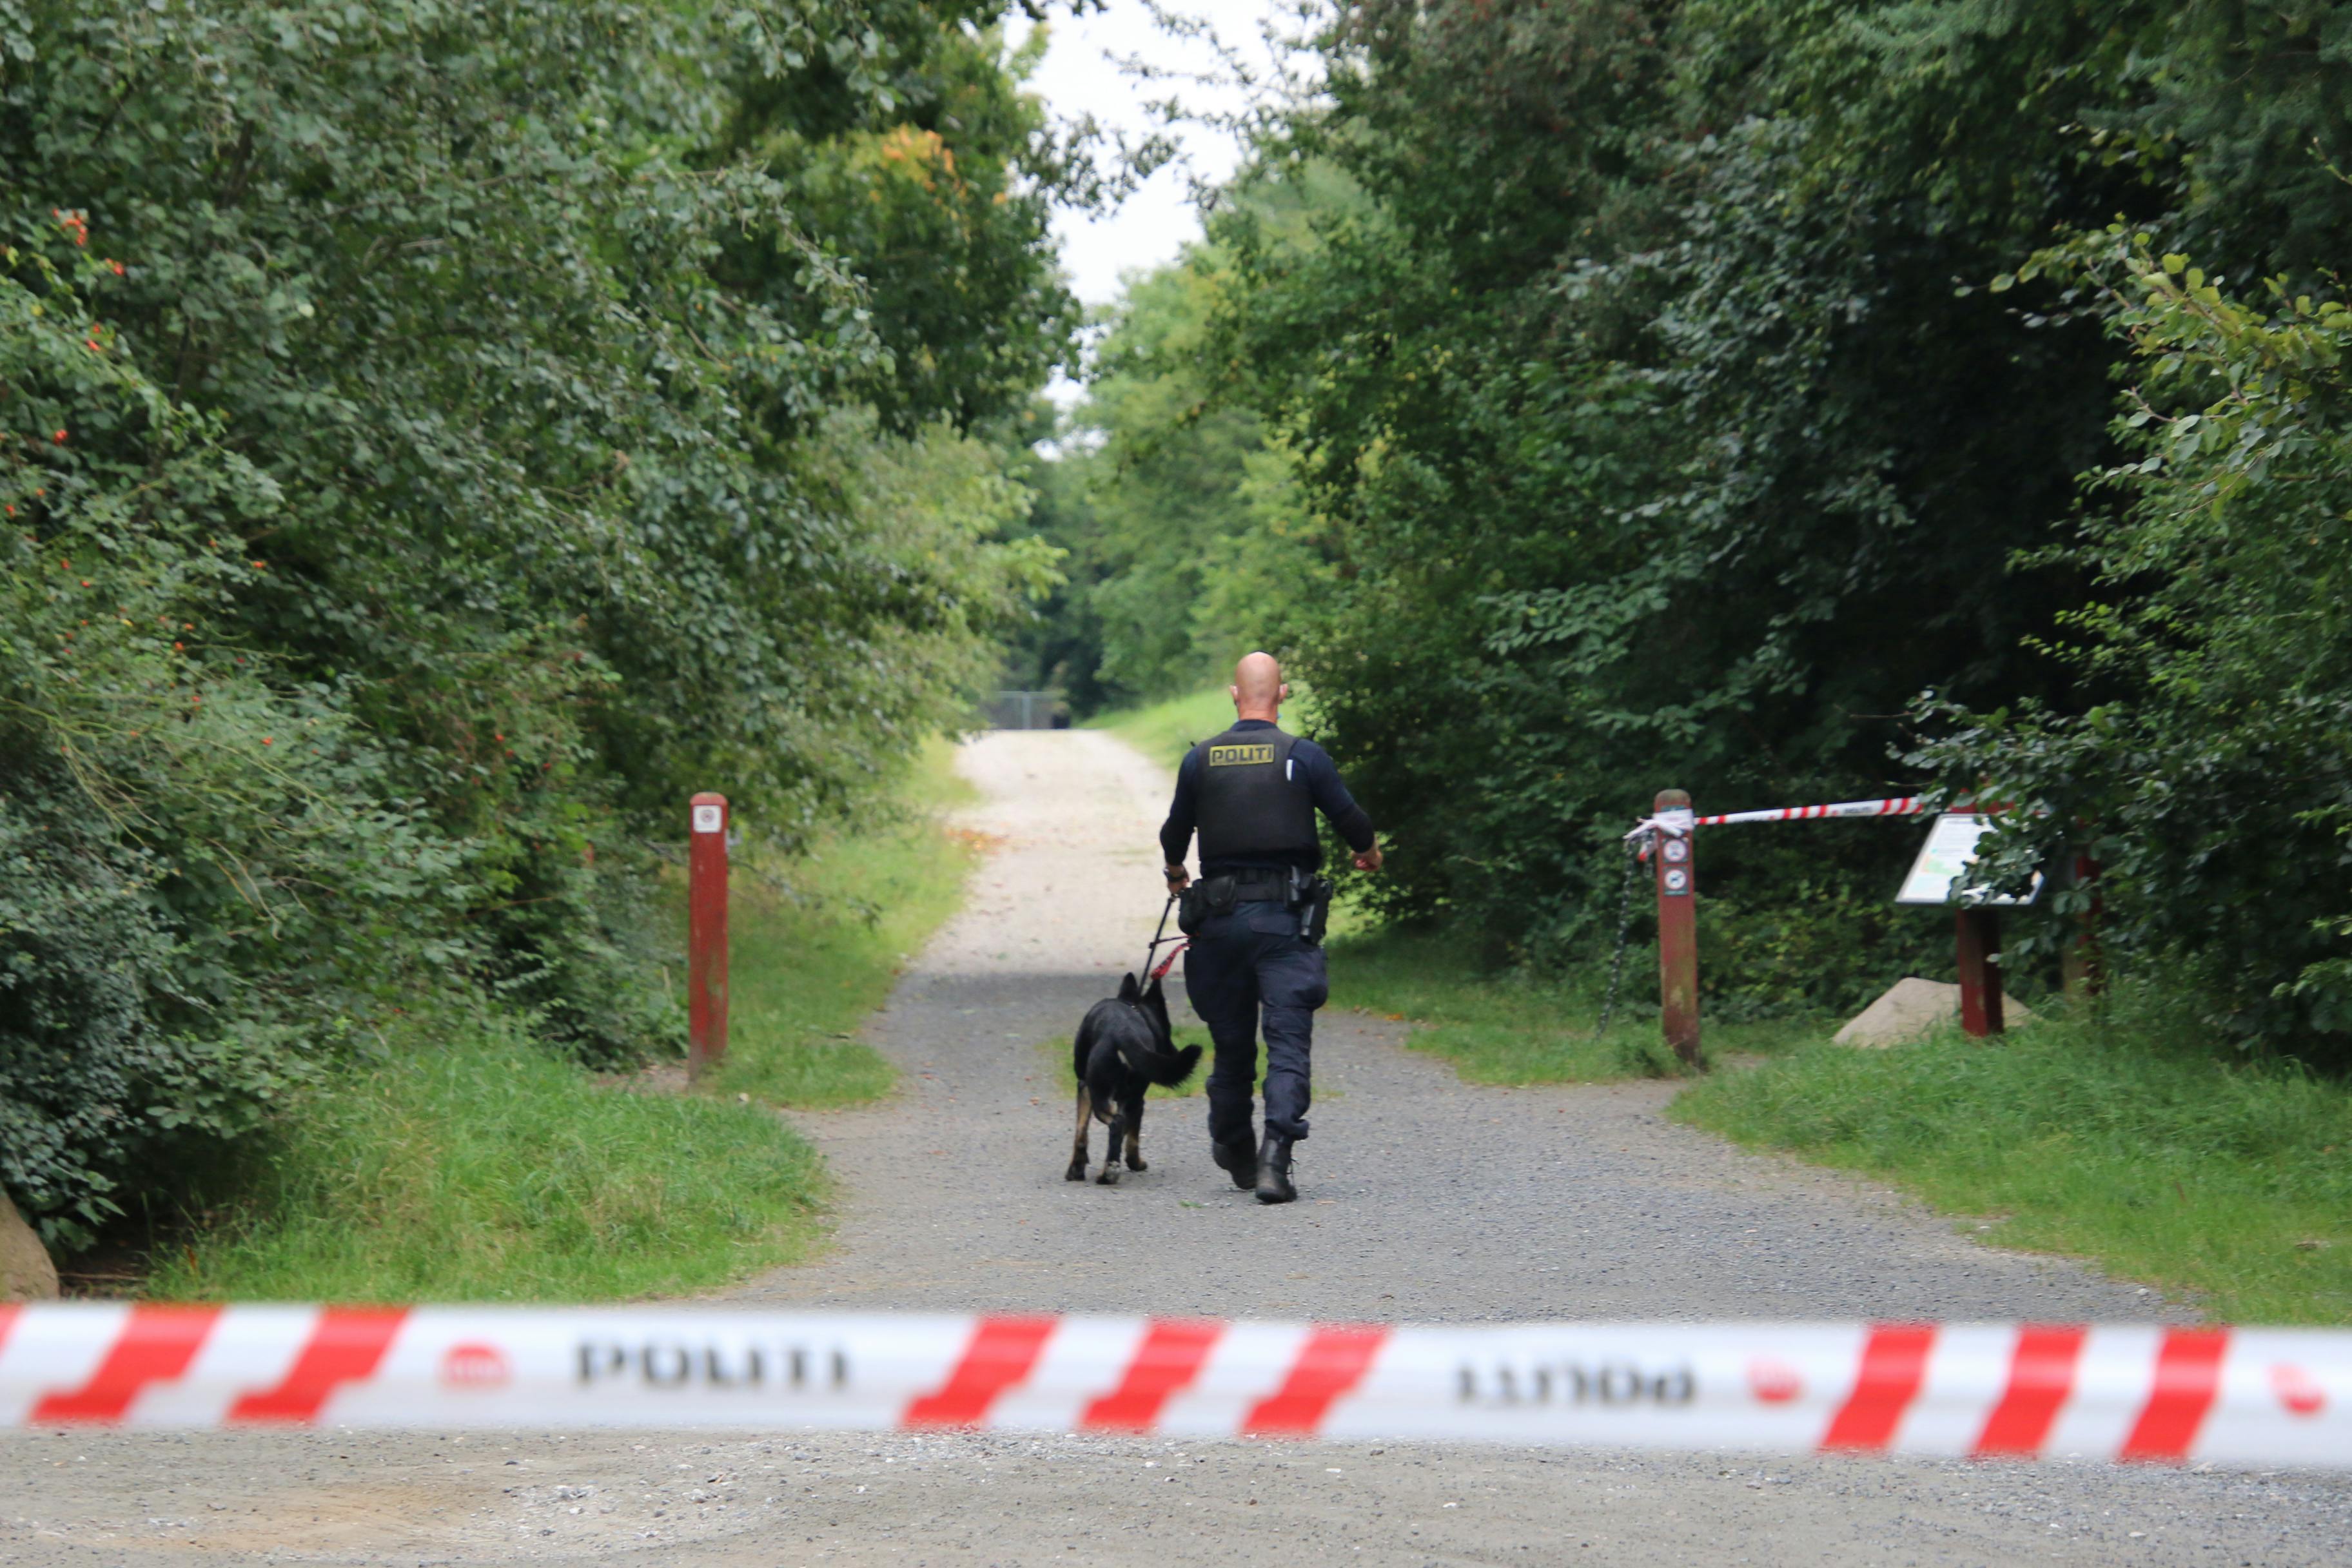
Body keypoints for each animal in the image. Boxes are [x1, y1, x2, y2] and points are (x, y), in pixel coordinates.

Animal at [1072, 973, 1204, 1184]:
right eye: (1167, 1029)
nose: (1174, 1050)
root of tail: (1123, 1032)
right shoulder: (1127, 1099)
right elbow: (1122, 1135)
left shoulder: (1086, 1089)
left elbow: (1086, 1134)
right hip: (1128, 1097)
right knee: (1120, 1128)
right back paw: (1111, 1168)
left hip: (1104, 1097)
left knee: (1117, 1125)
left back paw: (1108, 1173)